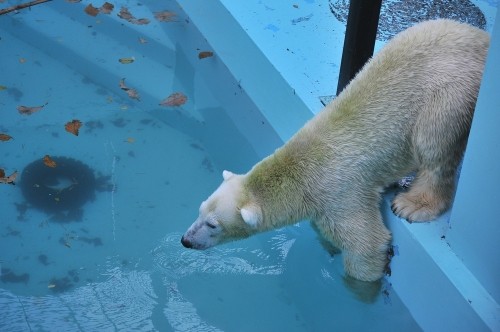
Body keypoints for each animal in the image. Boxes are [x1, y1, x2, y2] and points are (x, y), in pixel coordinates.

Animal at [180, 19, 488, 282]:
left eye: (213, 225)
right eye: (200, 209)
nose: (185, 240)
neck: (301, 171)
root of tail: (482, 39)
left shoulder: (340, 194)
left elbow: (367, 244)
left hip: (452, 89)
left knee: (433, 143)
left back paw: (414, 204)